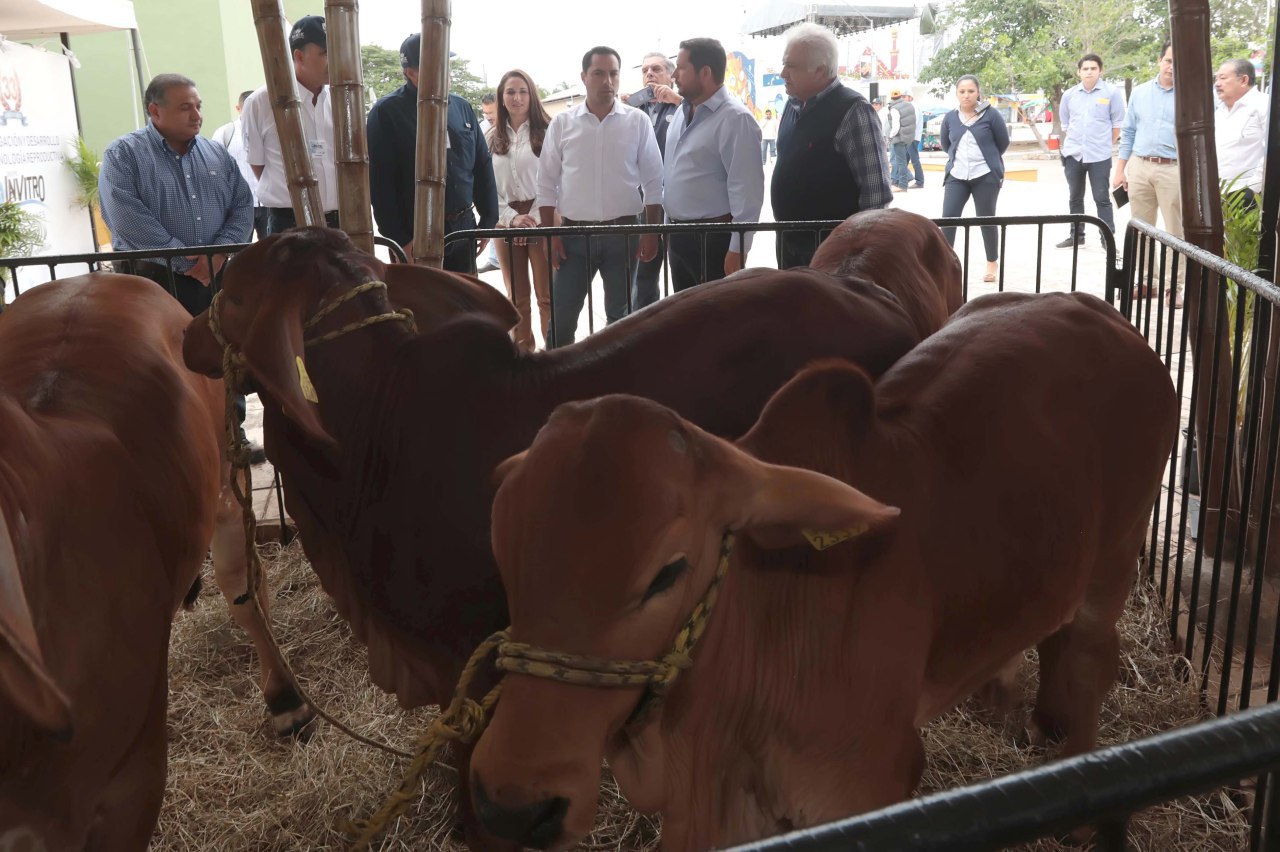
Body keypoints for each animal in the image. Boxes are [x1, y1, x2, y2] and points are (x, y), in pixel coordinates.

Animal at [471, 289, 1177, 844]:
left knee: (1089, 658)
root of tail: (1096, 310)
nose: (513, 805)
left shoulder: (867, 784)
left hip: (1116, 554)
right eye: (504, 552)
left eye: (668, 572)